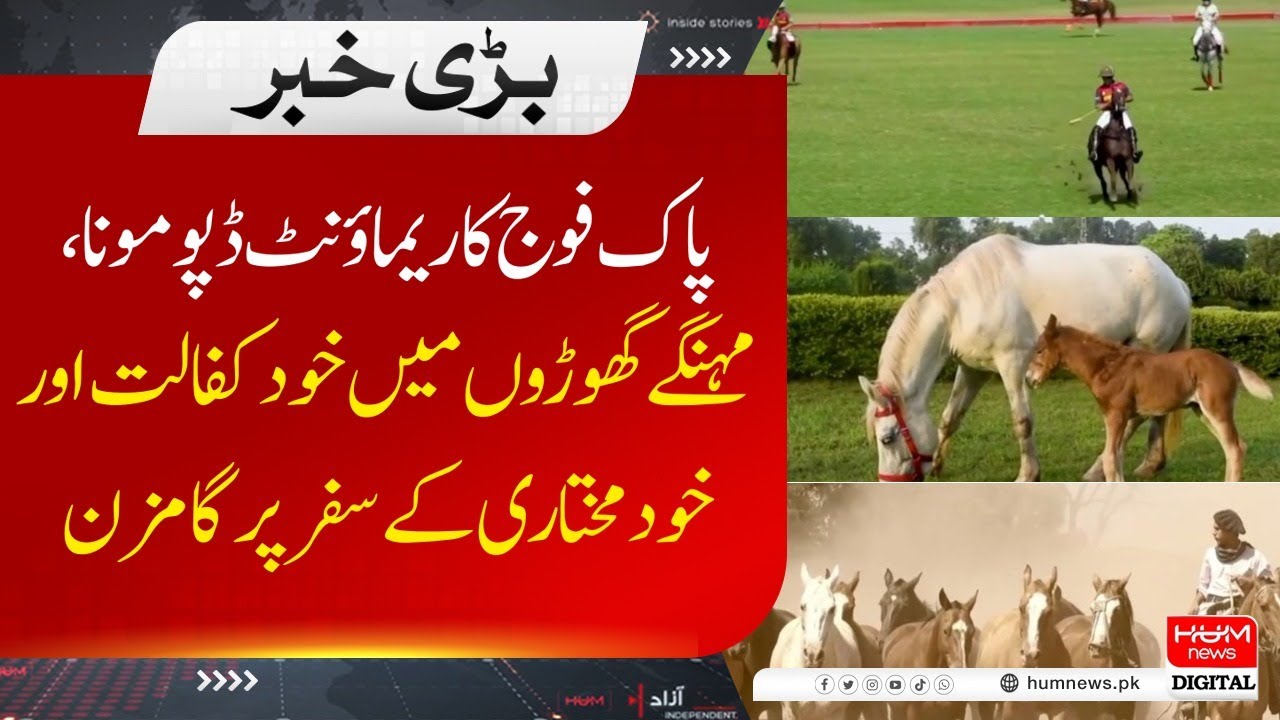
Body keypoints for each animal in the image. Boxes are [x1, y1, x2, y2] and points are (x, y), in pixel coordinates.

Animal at [859, 234, 1192, 483]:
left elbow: (1022, 422)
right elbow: (950, 418)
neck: (961, 302)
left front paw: (1028, 475)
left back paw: (1097, 470)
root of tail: (1176, 281)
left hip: (1146, 351)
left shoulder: (1013, 364)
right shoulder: (972, 370)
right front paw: (939, 465)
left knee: (1137, 416)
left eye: (887, 437)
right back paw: (1150, 464)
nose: (888, 482)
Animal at [1027, 314, 1273, 482]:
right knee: (1231, 447)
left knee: (1236, 448)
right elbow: (1117, 457)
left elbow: (1110, 459)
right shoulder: (1116, 416)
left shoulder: (1116, 414)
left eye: (1039, 350)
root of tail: (1230, 364)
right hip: (1202, 411)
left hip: (1217, 410)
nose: (1029, 379)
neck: (1107, 366)